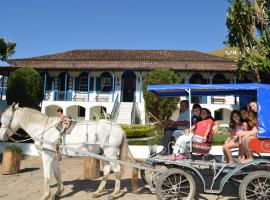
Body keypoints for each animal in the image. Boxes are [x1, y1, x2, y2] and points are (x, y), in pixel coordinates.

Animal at [0, 104, 138, 200]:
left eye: (5, 119)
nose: (2, 137)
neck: (44, 128)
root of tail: (119, 127)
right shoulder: (54, 156)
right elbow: (57, 174)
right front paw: (58, 192)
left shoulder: (47, 156)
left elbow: (46, 176)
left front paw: (46, 195)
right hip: (104, 154)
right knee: (107, 171)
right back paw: (98, 192)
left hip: (110, 153)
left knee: (117, 170)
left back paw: (114, 193)